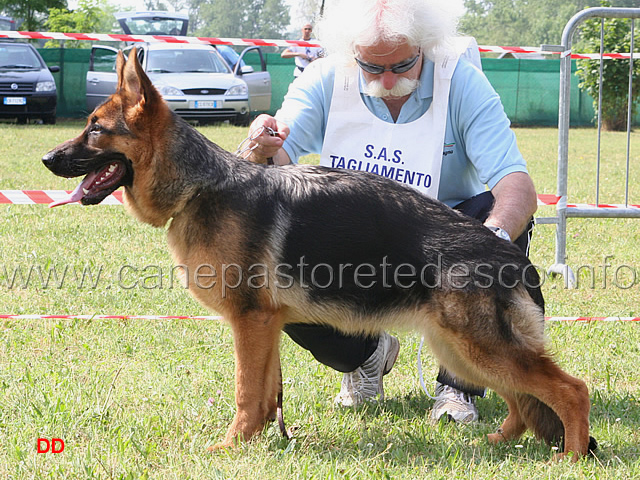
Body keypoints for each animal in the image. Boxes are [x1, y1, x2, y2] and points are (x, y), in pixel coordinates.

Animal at [43, 48, 596, 462]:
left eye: (95, 128)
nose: (47, 158)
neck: (201, 186)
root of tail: (513, 259)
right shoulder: (265, 326)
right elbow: (265, 393)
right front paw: (262, 441)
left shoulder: (250, 322)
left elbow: (246, 392)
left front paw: (230, 446)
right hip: (461, 349)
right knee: (525, 400)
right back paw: (500, 442)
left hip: (478, 347)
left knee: (571, 389)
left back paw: (569, 457)